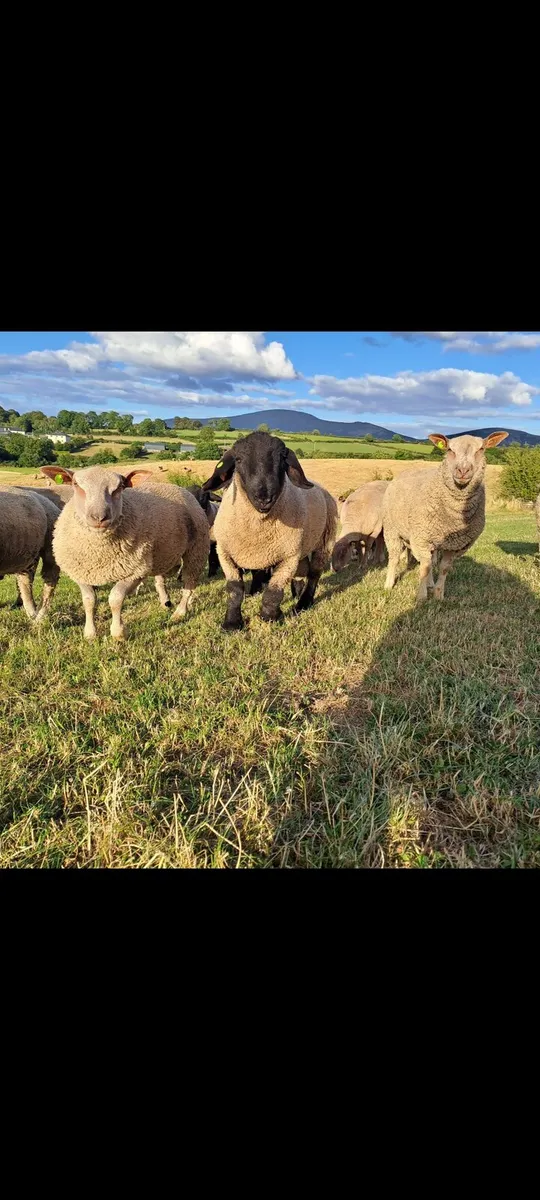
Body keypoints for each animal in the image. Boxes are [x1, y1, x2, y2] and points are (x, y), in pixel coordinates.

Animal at [0, 489, 60, 621]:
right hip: (28, 552)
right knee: (26, 580)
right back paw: (31, 612)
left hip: (50, 543)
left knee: (50, 577)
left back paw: (39, 617)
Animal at [41, 465, 209, 639]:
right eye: (76, 485)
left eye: (119, 487)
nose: (99, 517)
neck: (99, 553)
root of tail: (177, 487)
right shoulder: (81, 572)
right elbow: (89, 600)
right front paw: (90, 633)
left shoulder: (135, 571)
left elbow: (115, 599)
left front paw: (118, 633)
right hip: (160, 554)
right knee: (161, 580)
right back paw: (165, 602)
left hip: (196, 549)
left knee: (189, 584)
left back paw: (180, 612)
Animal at [201, 431, 338, 630]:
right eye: (238, 459)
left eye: (282, 458)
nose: (264, 498)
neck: (257, 527)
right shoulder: (225, 553)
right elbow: (235, 590)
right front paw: (232, 623)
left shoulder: (288, 556)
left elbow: (273, 592)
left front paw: (269, 618)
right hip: (302, 545)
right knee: (302, 571)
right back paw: (296, 594)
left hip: (325, 540)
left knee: (314, 573)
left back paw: (302, 604)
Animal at [382, 431, 508, 602]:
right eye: (449, 450)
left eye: (481, 449)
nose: (463, 470)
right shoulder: (421, 538)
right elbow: (424, 567)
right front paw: (421, 597)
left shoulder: (454, 544)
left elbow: (443, 568)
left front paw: (438, 594)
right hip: (392, 530)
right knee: (395, 557)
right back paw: (389, 584)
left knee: (430, 559)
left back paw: (430, 584)